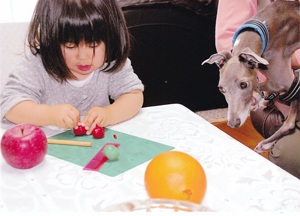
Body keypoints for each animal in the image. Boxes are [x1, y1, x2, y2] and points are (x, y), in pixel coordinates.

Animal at [202, 0, 300, 154]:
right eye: (221, 89)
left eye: (243, 84)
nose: (233, 124)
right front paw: (262, 100)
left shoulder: (285, 81)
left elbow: (261, 84)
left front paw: (260, 98)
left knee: (289, 123)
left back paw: (265, 143)